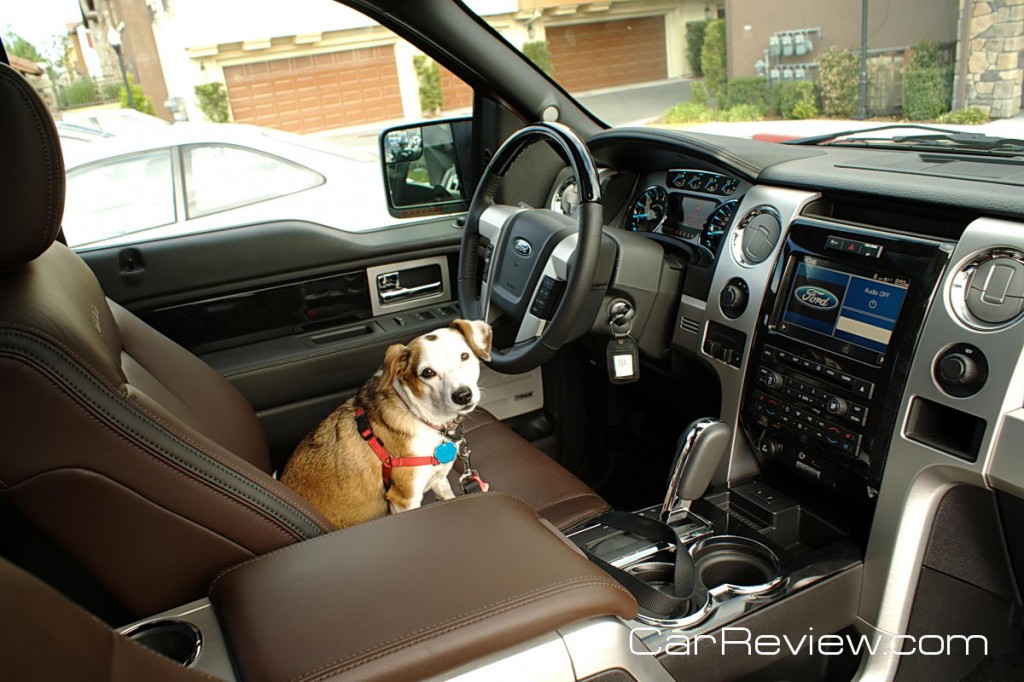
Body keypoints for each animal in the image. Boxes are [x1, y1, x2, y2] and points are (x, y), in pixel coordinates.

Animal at [278, 315, 489, 528]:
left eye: (464, 356)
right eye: (427, 373)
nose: (462, 396)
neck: (419, 415)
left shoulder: (439, 479)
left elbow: (448, 494)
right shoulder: (405, 499)